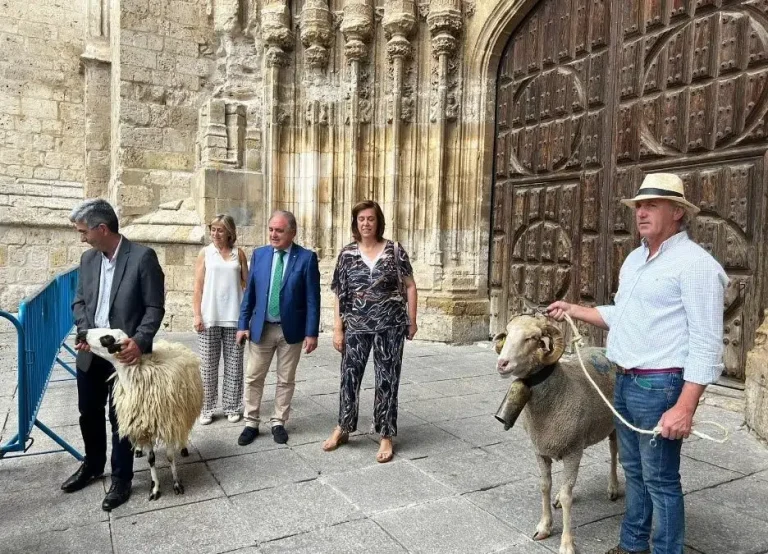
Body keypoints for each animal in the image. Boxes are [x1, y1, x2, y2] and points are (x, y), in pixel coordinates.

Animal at [77, 326, 204, 498]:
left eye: (106, 338)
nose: (81, 334)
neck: (135, 378)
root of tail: (171, 343)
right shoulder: (143, 426)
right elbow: (151, 459)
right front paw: (155, 488)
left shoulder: (168, 424)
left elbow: (170, 457)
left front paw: (177, 484)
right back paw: (137, 450)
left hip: (184, 411)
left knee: (184, 430)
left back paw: (183, 447)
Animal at [496, 312, 620, 552]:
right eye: (507, 333)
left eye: (532, 338)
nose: (502, 363)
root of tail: (604, 349)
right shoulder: (541, 450)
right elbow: (546, 486)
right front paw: (544, 527)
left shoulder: (572, 451)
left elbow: (568, 496)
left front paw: (566, 544)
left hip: (617, 425)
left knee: (613, 452)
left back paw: (613, 488)